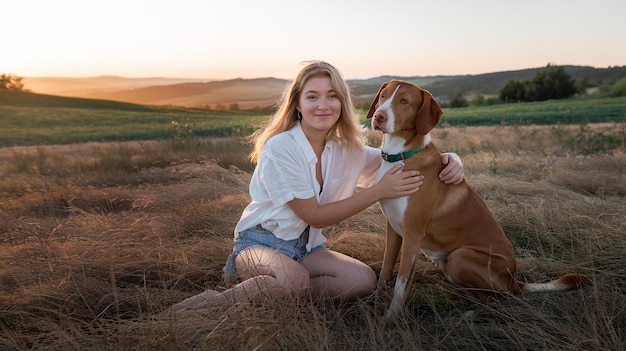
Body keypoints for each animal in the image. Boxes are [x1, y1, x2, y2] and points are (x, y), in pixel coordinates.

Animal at [366, 80, 588, 322]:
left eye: (405, 101)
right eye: (383, 96)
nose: (378, 116)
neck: (401, 156)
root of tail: (514, 280)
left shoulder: (413, 234)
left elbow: (401, 283)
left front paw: (390, 319)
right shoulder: (394, 229)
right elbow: (386, 269)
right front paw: (374, 302)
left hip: (460, 257)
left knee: (496, 299)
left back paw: (470, 313)